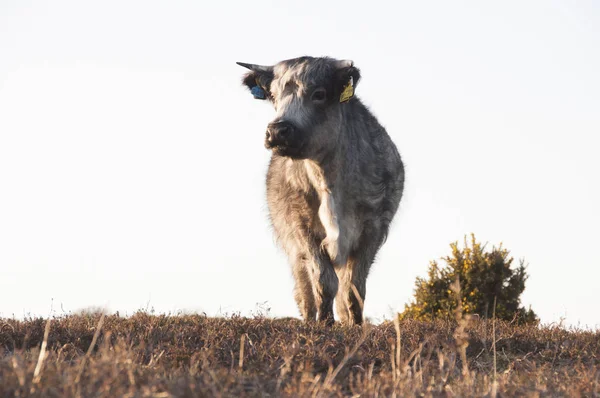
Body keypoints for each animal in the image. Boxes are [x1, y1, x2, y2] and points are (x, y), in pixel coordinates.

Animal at [237, 56, 406, 326]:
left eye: (319, 94)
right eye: (273, 96)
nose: (277, 131)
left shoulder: (373, 229)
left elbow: (354, 287)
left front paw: (356, 325)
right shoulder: (302, 228)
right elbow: (324, 281)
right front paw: (325, 323)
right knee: (304, 291)